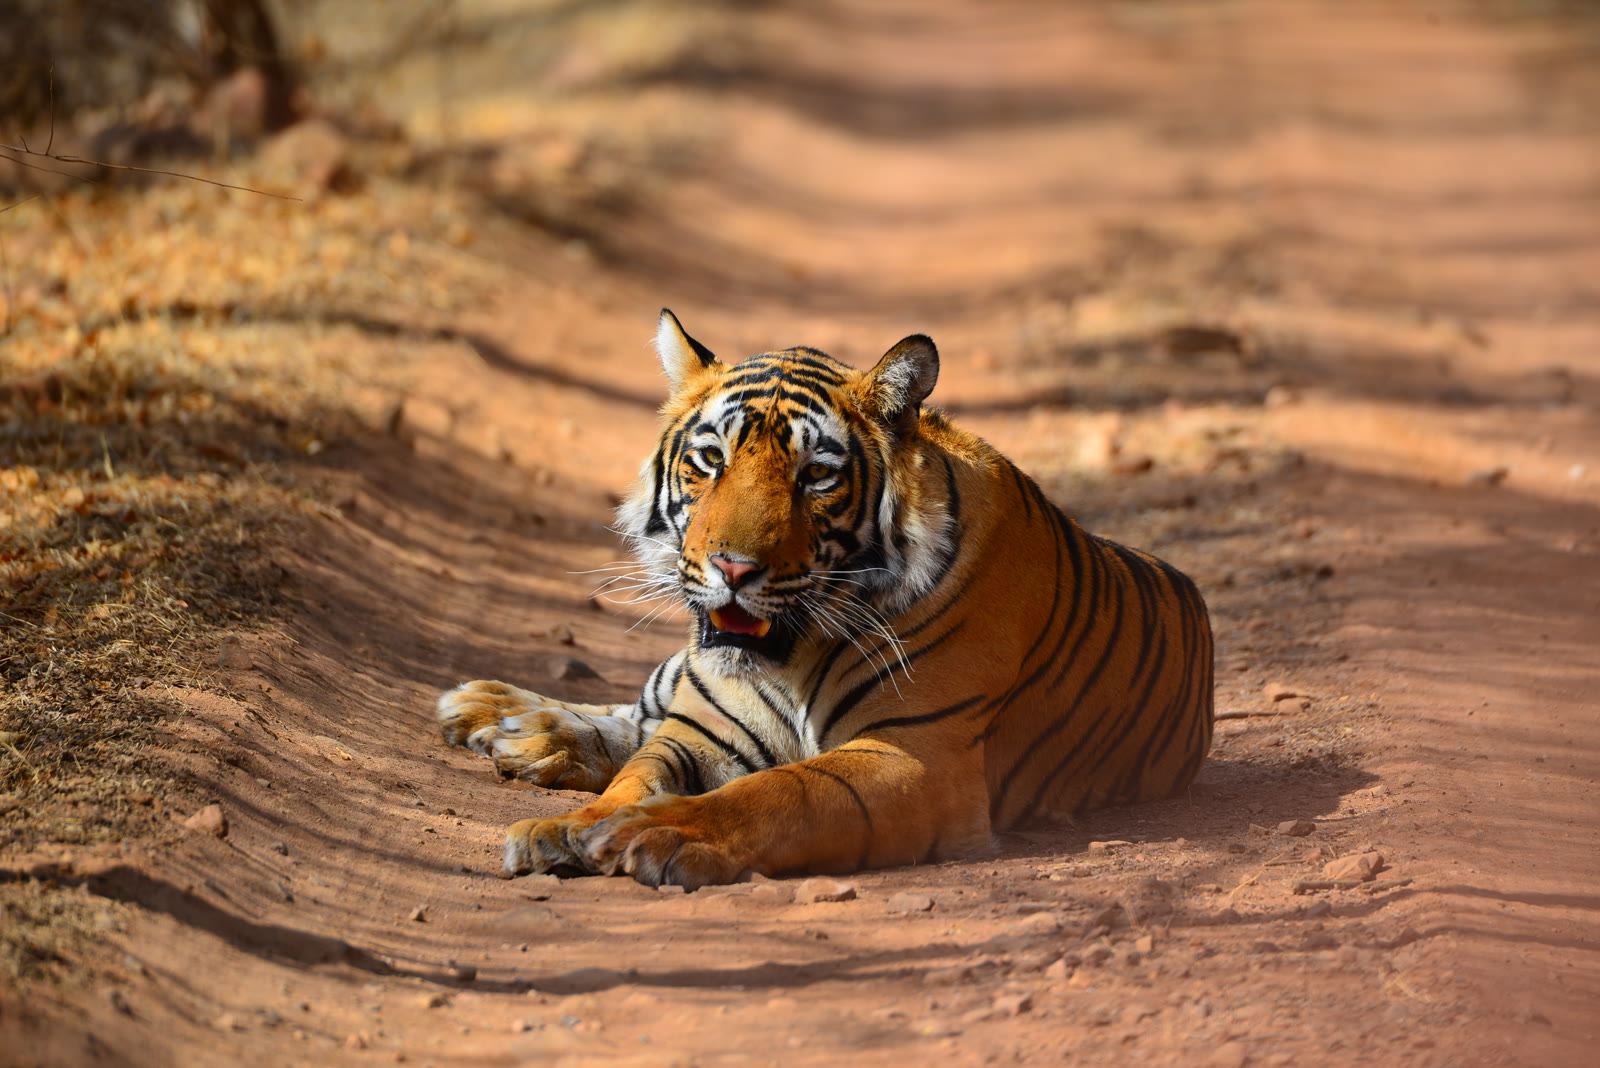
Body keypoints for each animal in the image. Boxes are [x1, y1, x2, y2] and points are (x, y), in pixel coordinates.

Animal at [437, 310, 1214, 890]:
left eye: (815, 476)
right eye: (711, 460)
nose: (733, 567)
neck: (790, 658)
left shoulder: (917, 756)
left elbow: (779, 792)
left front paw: (650, 834)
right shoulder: (702, 731)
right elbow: (636, 773)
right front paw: (568, 828)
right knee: (635, 711)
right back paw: (500, 717)